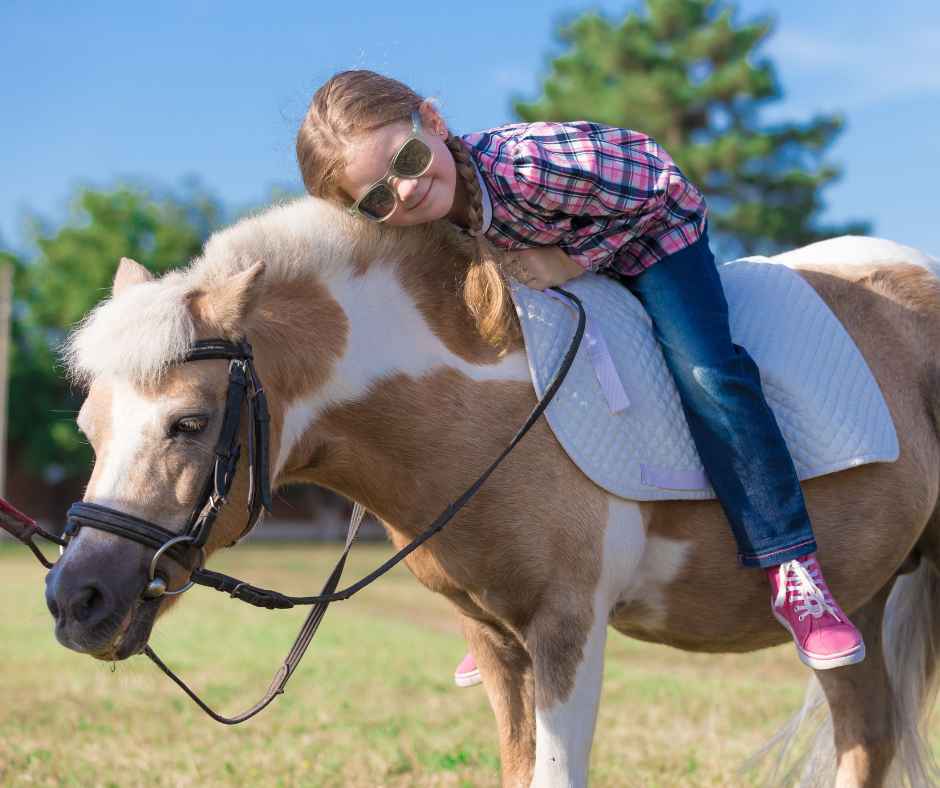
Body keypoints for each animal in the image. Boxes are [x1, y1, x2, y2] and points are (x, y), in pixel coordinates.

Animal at [43, 197, 940, 788]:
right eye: (87, 426)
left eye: (189, 423)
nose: (76, 599)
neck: (484, 404)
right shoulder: (498, 639)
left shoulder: (569, 628)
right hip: (859, 604)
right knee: (867, 735)